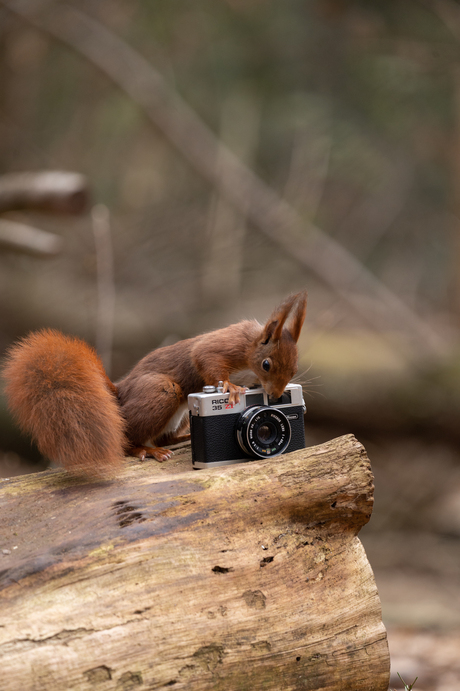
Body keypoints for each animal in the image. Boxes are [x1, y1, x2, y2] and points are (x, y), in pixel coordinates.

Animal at [2, 290, 310, 476]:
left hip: (180, 413)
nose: (276, 395)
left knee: (165, 436)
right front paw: (231, 388)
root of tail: (120, 393)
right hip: (162, 392)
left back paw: (184, 438)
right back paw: (145, 450)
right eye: (267, 365)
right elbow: (204, 357)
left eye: (294, 369)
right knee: (128, 439)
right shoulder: (225, 346)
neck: (250, 360)